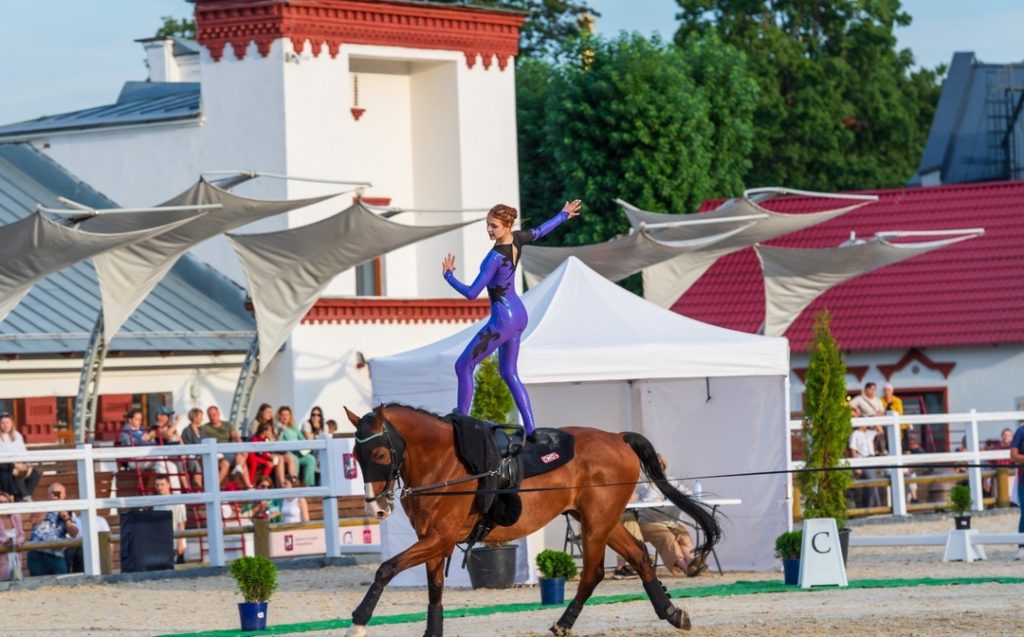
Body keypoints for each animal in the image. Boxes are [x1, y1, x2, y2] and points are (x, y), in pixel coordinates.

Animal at [344, 407, 720, 634]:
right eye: (356, 456)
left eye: (380, 453)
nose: (375, 509)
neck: (446, 464)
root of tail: (617, 438)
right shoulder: (433, 541)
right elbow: (434, 592)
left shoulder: (440, 539)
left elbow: (386, 569)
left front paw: (358, 623)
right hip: (604, 521)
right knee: (640, 556)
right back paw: (672, 612)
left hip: (596, 526)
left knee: (592, 573)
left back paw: (564, 623)